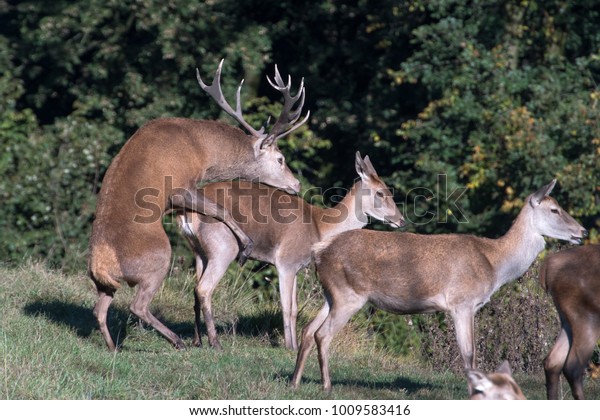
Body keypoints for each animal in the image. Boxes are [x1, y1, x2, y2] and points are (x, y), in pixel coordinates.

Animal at [88, 59, 310, 352]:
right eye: (281, 159)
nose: (296, 184)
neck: (202, 150)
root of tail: (102, 264)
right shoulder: (180, 187)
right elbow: (220, 209)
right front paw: (246, 246)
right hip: (158, 256)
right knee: (138, 305)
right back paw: (180, 340)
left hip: (105, 283)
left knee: (99, 309)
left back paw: (114, 347)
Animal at [176, 151, 406, 352]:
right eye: (380, 192)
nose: (401, 220)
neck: (319, 227)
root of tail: (186, 214)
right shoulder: (286, 262)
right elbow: (286, 306)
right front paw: (290, 346)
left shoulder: (297, 267)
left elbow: (295, 307)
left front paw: (293, 344)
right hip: (223, 247)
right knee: (204, 289)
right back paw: (215, 343)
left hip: (199, 250)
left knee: (196, 289)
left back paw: (197, 340)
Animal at [290, 179, 584, 392]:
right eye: (554, 209)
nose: (581, 232)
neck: (494, 264)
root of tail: (319, 251)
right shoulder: (462, 301)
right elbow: (469, 353)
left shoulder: (469, 306)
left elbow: (471, 354)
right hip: (349, 294)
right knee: (323, 334)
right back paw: (326, 386)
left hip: (332, 294)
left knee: (309, 329)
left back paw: (295, 381)